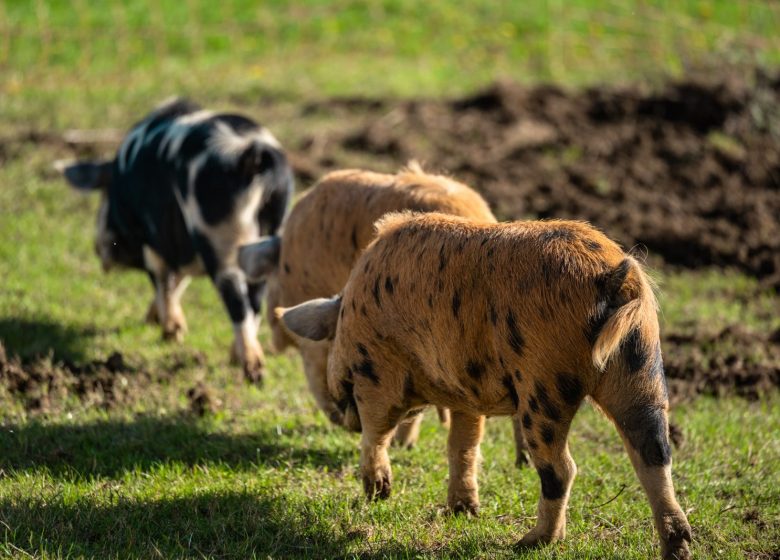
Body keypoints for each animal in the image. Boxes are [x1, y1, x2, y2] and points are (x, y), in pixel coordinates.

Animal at [61, 98, 292, 382]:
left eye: (103, 200)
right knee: (256, 297)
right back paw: (237, 358)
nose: (99, 252)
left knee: (236, 298)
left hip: (220, 235)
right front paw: (152, 320)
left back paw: (252, 369)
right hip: (270, 230)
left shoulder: (152, 239)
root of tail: (251, 155)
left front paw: (171, 334)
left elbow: (163, 281)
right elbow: (179, 279)